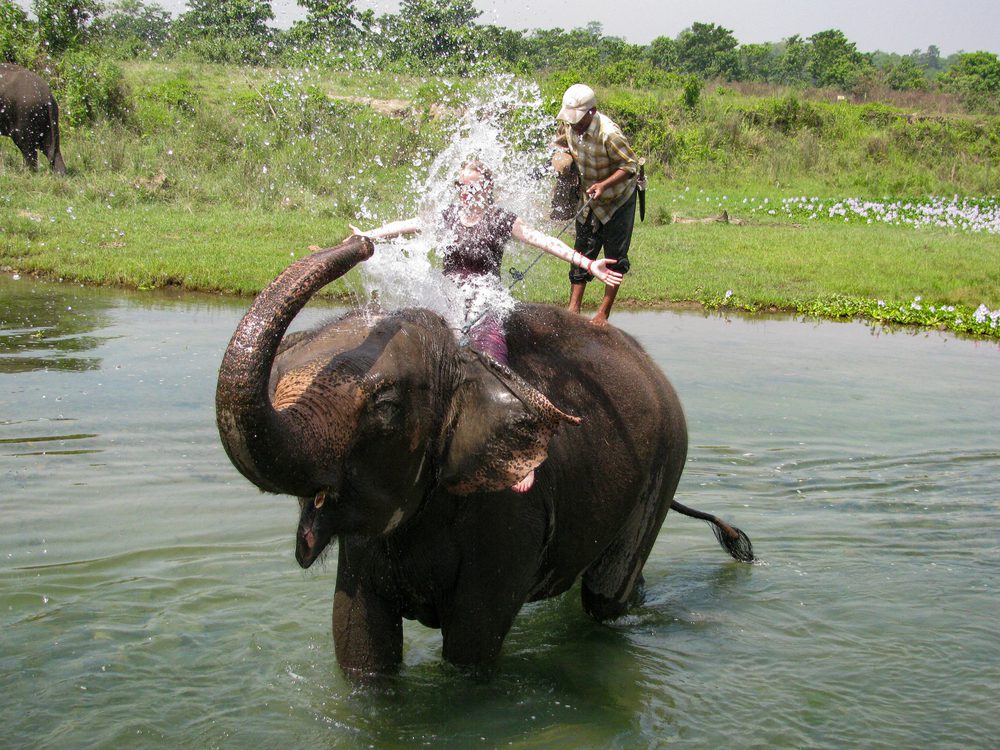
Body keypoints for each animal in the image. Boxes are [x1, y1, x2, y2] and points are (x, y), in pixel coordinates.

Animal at [216, 236, 754, 676]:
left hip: (666, 462)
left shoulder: (512, 517)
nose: (361, 242)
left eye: (386, 407)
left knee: (603, 597)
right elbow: (358, 643)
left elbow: (470, 646)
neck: (464, 362)